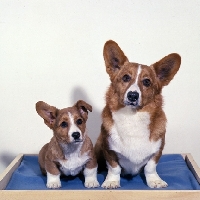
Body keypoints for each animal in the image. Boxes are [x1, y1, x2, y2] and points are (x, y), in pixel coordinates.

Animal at [95, 39, 181, 188]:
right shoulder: (109, 150)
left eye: (146, 82)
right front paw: (111, 181)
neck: (133, 117)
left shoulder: (157, 151)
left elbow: (150, 167)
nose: (133, 96)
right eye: (125, 78)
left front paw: (155, 181)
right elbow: (114, 168)